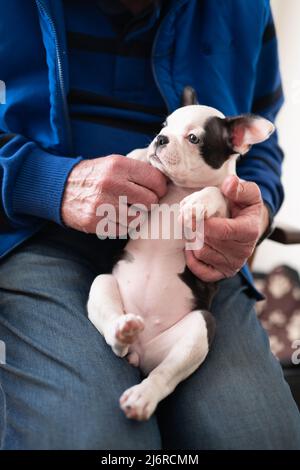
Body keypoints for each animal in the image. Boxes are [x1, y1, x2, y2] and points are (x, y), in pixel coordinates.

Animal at [86, 101, 274, 420]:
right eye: (164, 126)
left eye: (194, 138)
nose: (160, 139)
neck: (179, 188)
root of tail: (140, 351)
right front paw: (138, 155)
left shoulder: (226, 216)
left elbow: (217, 194)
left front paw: (199, 202)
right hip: (103, 284)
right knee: (113, 335)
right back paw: (123, 331)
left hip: (198, 329)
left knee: (163, 375)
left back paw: (142, 397)